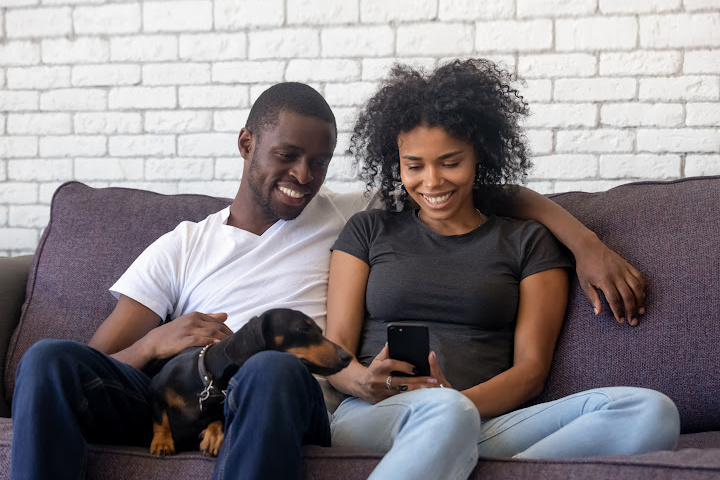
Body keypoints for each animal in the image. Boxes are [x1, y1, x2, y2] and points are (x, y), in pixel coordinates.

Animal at [149, 310, 352, 456]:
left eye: (320, 331)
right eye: (303, 328)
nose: (348, 357)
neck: (207, 384)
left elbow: (219, 419)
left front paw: (213, 436)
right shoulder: (155, 390)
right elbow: (160, 419)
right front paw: (162, 443)